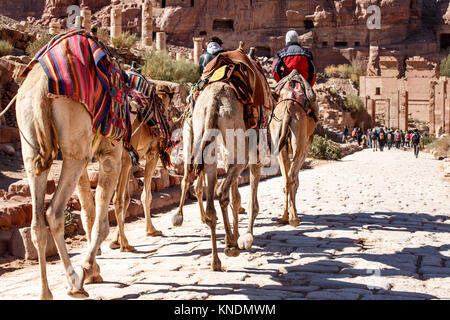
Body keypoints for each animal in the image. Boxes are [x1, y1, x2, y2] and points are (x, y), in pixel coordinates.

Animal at [15, 63, 126, 300]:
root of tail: (39, 88)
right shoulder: (111, 154)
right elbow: (100, 221)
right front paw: (88, 268)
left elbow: (88, 212)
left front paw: (94, 271)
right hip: (75, 145)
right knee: (53, 213)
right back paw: (74, 282)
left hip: (30, 149)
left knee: (37, 222)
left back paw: (45, 292)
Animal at [268, 75, 318, 225]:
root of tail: (289, 105)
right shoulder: (305, 149)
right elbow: (296, 179)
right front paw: (293, 213)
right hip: (299, 140)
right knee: (291, 177)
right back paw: (294, 218)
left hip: (277, 133)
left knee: (285, 178)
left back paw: (284, 217)